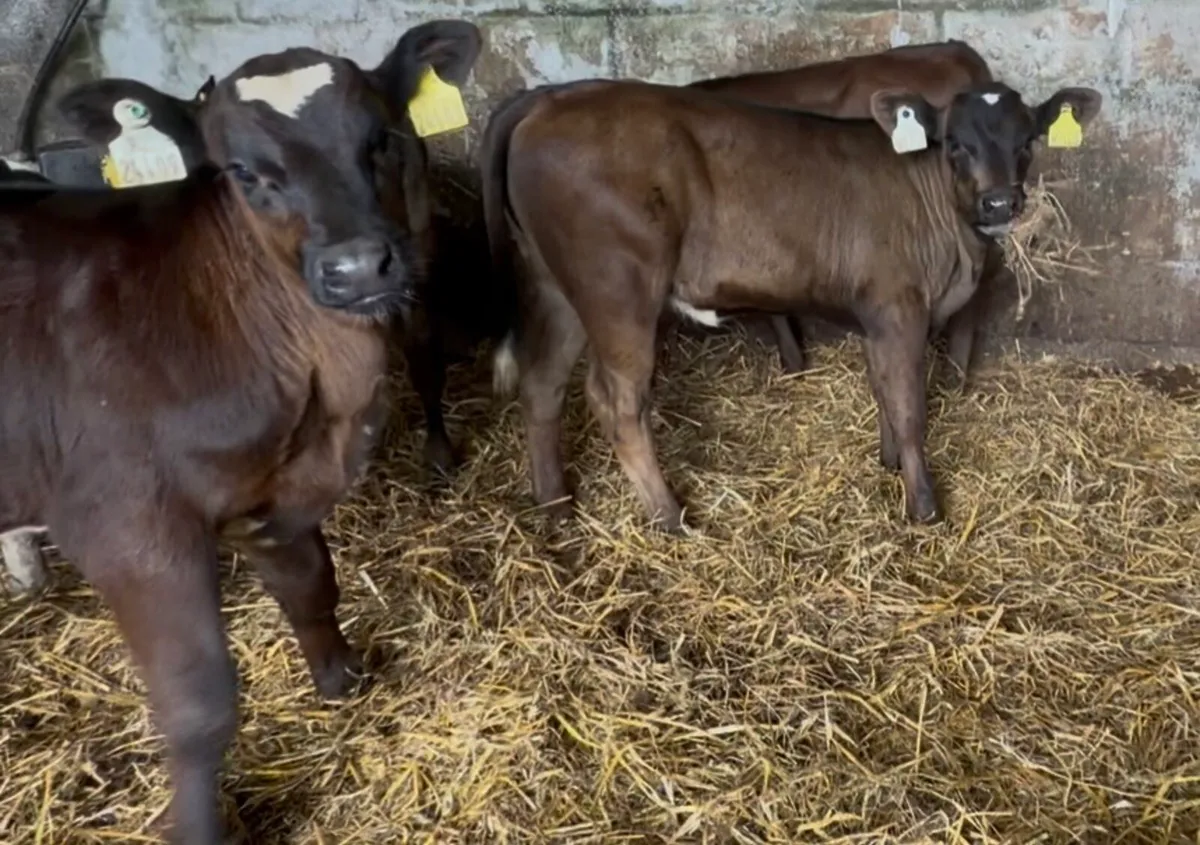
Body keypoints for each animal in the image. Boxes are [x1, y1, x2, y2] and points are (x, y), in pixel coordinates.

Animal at [0, 18, 481, 845]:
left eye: (379, 137)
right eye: (242, 171)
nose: (360, 268)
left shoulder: (271, 489)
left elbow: (312, 584)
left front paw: (339, 680)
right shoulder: (128, 529)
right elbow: (199, 705)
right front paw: (199, 825)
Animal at [483, 78, 1101, 531]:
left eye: (1028, 142)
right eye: (955, 143)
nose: (1000, 203)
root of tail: (550, 96)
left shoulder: (877, 317)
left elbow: (883, 390)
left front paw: (889, 463)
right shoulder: (898, 308)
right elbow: (909, 407)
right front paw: (923, 505)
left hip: (554, 283)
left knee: (542, 384)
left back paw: (555, 507)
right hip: (617, 287)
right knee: (616, 401)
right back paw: (670, 516)